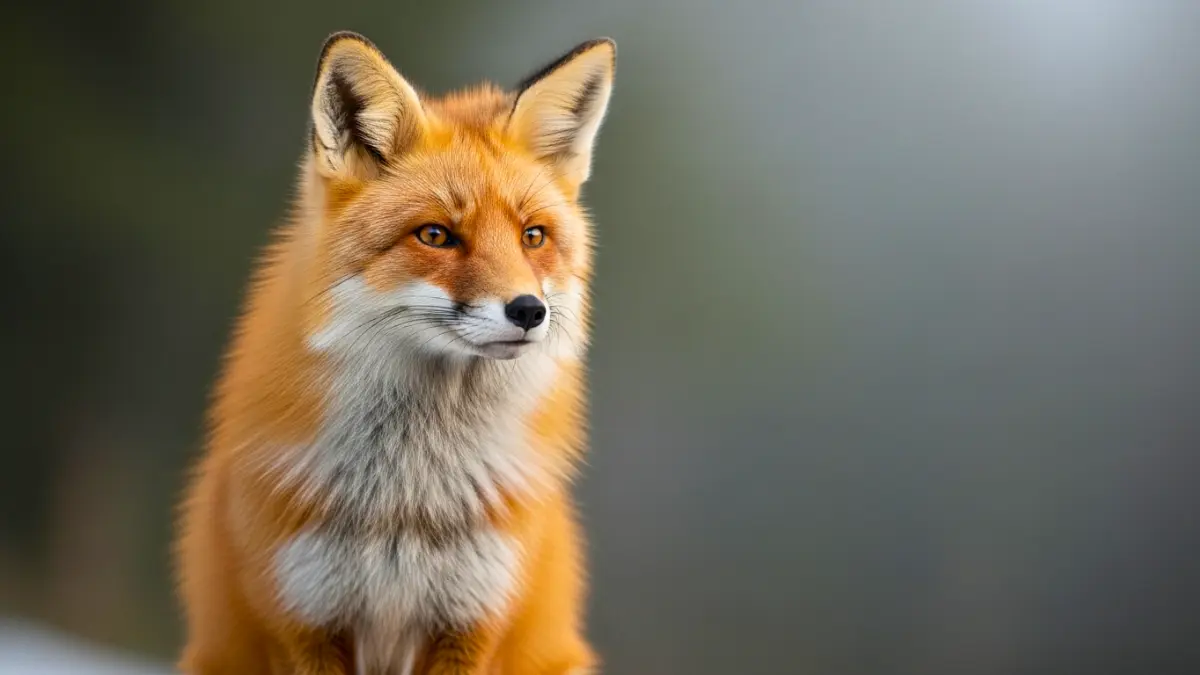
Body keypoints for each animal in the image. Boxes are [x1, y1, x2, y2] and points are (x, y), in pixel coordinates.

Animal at [174, 31, 616, 675]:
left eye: (533, 236)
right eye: (435, 235)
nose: (529, 311)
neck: (406, 505)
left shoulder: (472, 624)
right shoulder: (302, 623)